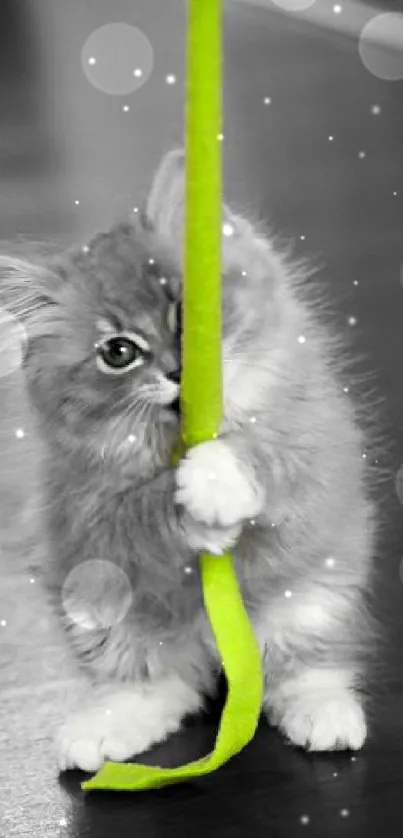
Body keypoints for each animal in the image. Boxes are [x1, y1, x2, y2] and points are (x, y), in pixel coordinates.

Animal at [0, 149, 378, 768]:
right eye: (119, 353)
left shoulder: (313, 447)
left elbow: (256, 450)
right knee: (161, 686)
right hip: (106, 615)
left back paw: (326, 715)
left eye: (188, 313)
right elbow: (146, 508)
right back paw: (103, 730)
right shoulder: (86, 510)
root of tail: (213, 648)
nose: (178, 372)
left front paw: (214, 483)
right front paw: (199, 508)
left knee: (302, 670)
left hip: (314, 600)